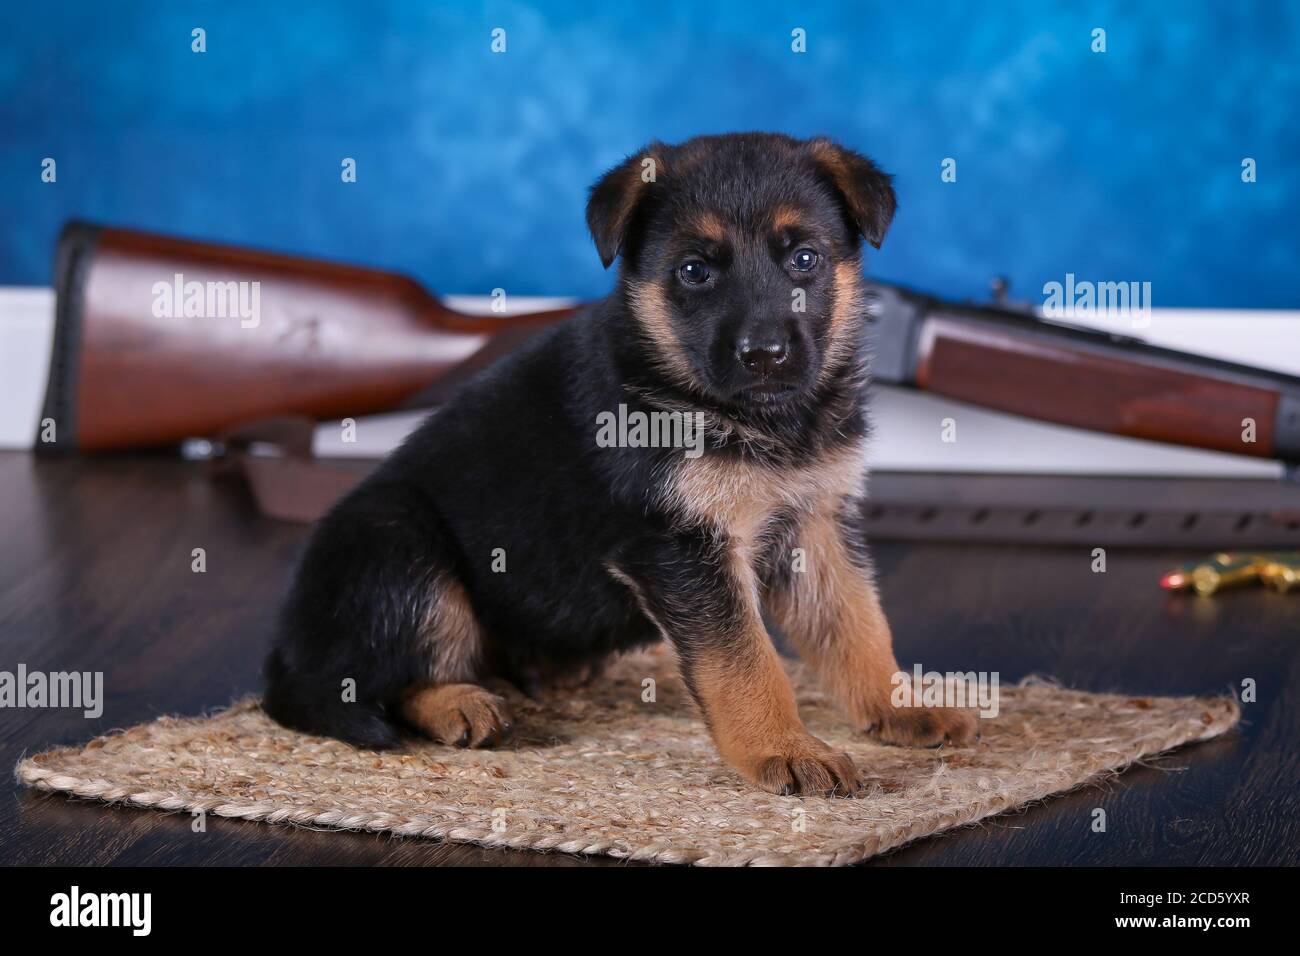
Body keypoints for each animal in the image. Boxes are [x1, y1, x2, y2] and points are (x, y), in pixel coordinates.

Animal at [263, 130, 977, 796]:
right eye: (693, 271)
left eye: (806, 259)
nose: (765, 356)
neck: (749, 416)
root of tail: (285, 657)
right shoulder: (682, 547)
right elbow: (746, 662)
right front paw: (786, 748)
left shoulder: (816, 524)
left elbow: (857, 624)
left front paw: (899, 705)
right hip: (400, 547)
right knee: (382, 681)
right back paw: (461, 704)